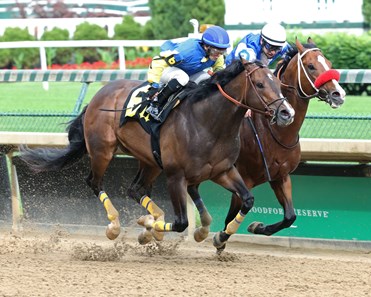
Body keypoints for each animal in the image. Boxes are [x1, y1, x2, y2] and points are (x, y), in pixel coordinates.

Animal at [18, 59, 296, 243]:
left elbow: (247, 199)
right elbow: (182, 222)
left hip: (149, 161)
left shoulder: (223, 171)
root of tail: (99, 94)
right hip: (102, 151)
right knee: (94, 182)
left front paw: (222, 236)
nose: (286, 113)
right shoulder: (175, 176)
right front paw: (149, 228)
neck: (208, 123)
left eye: (277, 81)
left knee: (135, 189)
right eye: (260, 84)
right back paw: (115, 226)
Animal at [190, 36, 348, 250]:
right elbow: (232, 216)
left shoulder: (280, 176)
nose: (338, 94)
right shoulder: (242, 177)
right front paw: (220, 238)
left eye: (330, 64)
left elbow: (290, 216)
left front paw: (256, 227)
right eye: (311, 66)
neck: (274, 131)